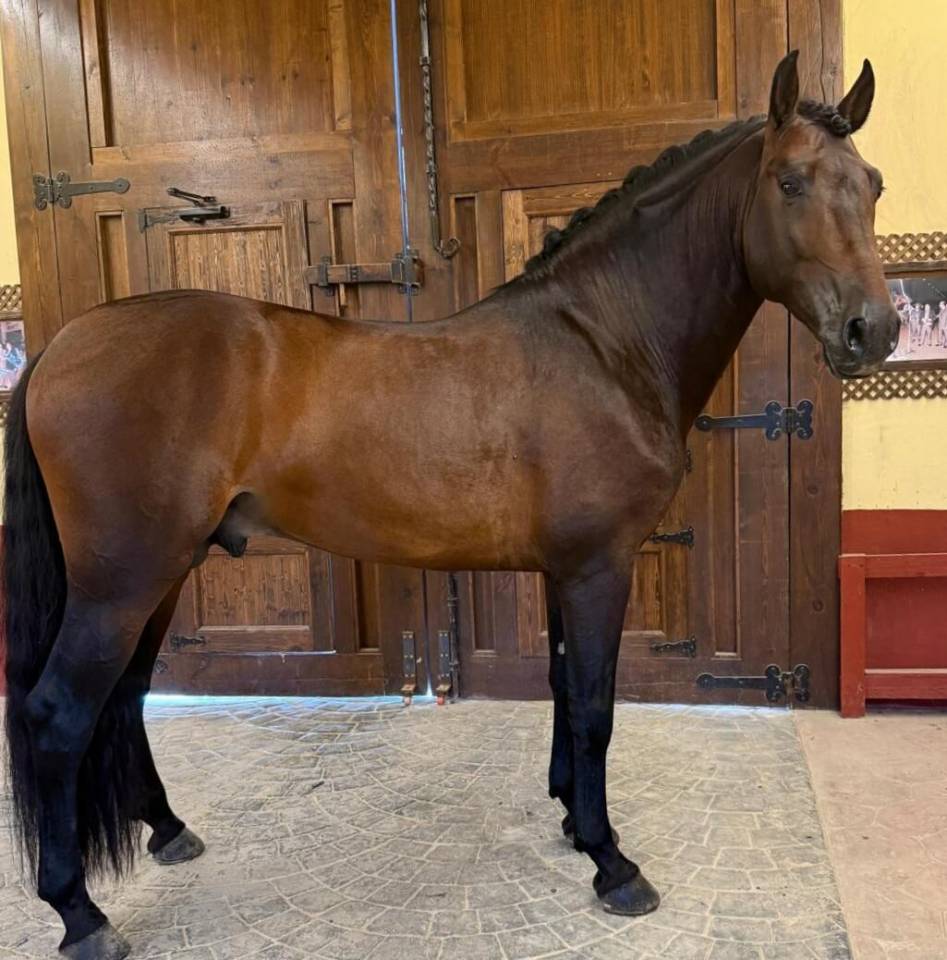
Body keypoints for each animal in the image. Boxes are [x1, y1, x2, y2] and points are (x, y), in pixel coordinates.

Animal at [3, 51, 897, 959]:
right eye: (789, 182)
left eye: (873, 184)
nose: (874, 331)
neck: (603, 345)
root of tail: (61, 346)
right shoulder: (598, 568)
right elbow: (594, 709)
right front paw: (612, 863)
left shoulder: (562, 573)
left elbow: (562, 686)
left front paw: (572, 821)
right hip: (123, 583)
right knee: (58, 714)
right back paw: (80, 913)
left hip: (162, 574)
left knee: (124, 697)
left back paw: (167, 829)